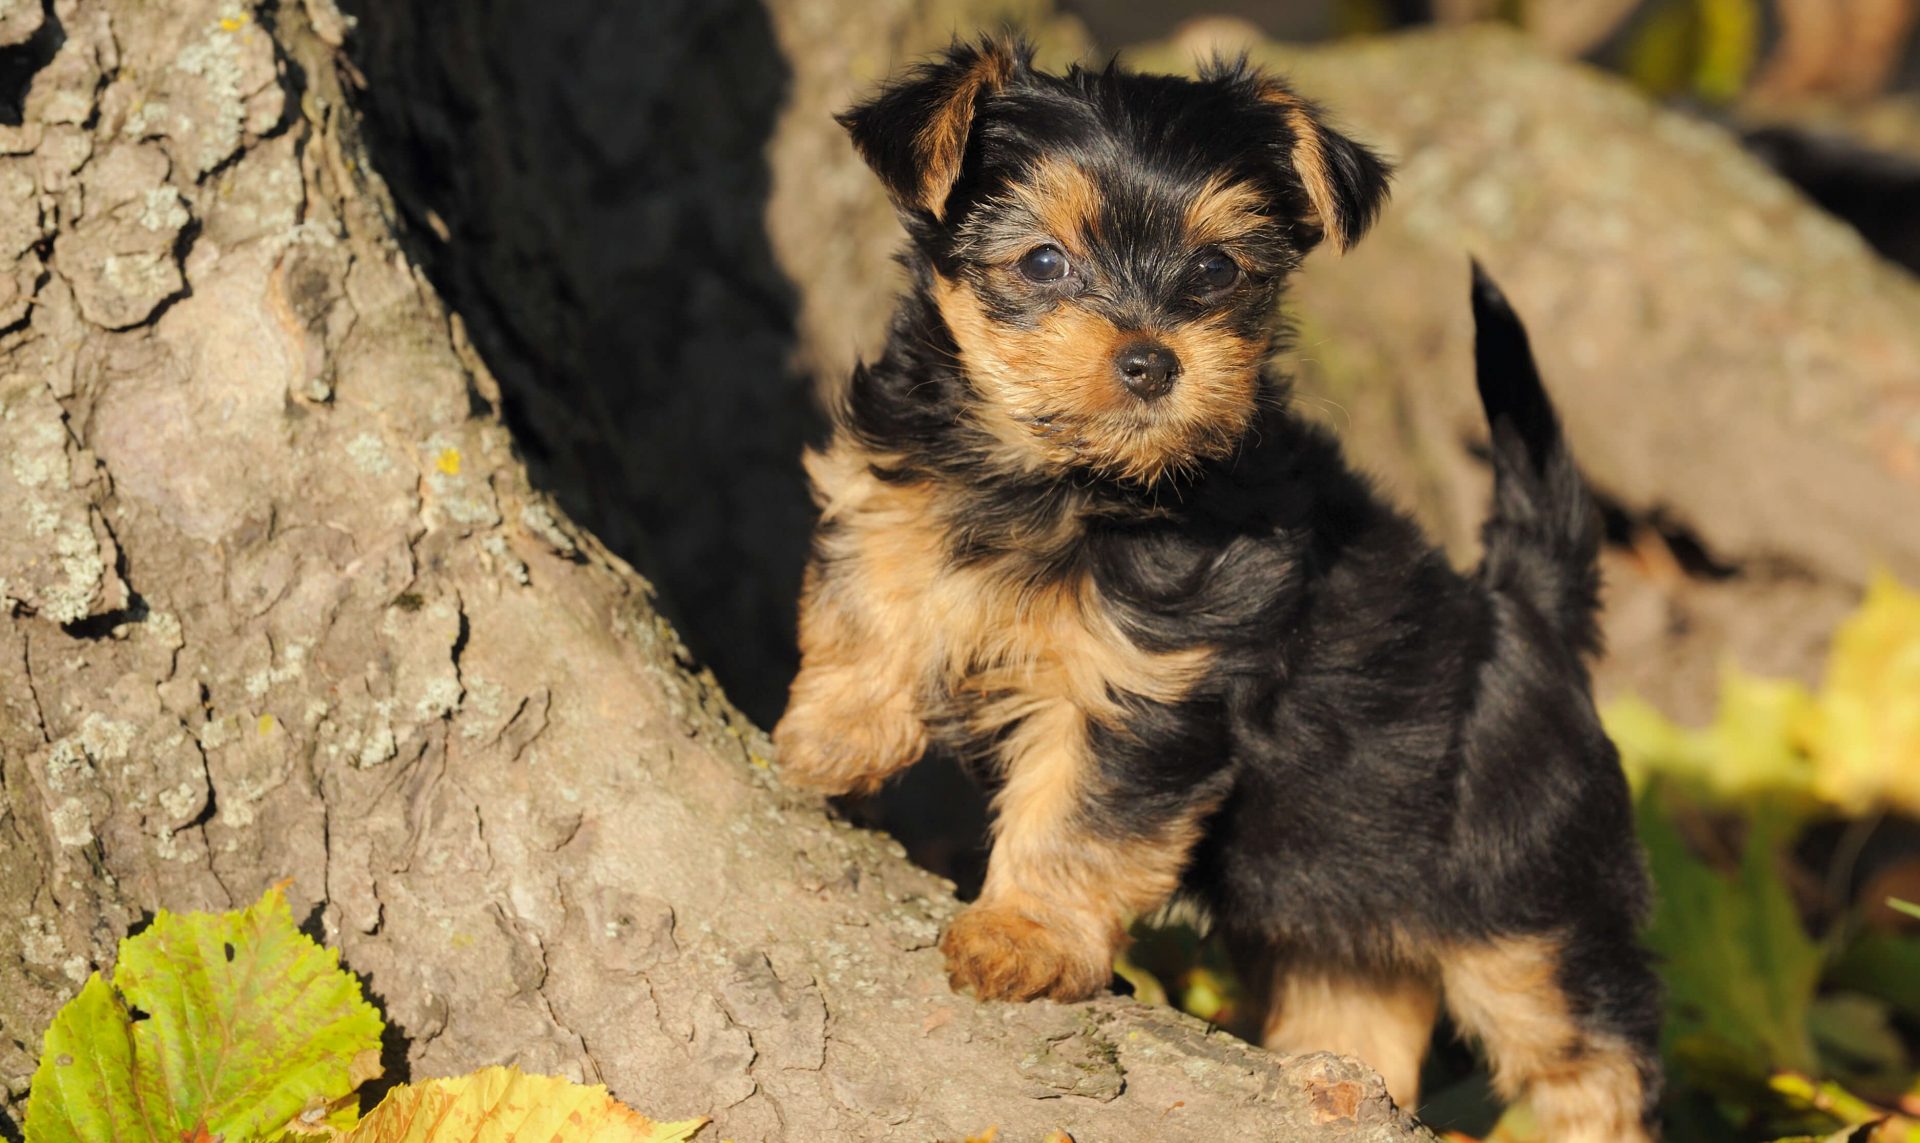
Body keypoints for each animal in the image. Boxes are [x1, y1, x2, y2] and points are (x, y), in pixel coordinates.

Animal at [771, 40, 1658, 1137]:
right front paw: (835, 734)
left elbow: (1080, 814)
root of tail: (1528, 614)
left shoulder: (1146, 682)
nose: (1152, 361)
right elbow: (872, 580)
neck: (1061, 482)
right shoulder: (901, 483)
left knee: (1590, 1049)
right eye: (1043, 263)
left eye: (1214, 269)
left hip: (1527, 898)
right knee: (1361, 1005)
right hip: (1339, 889)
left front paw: (1023, 933)